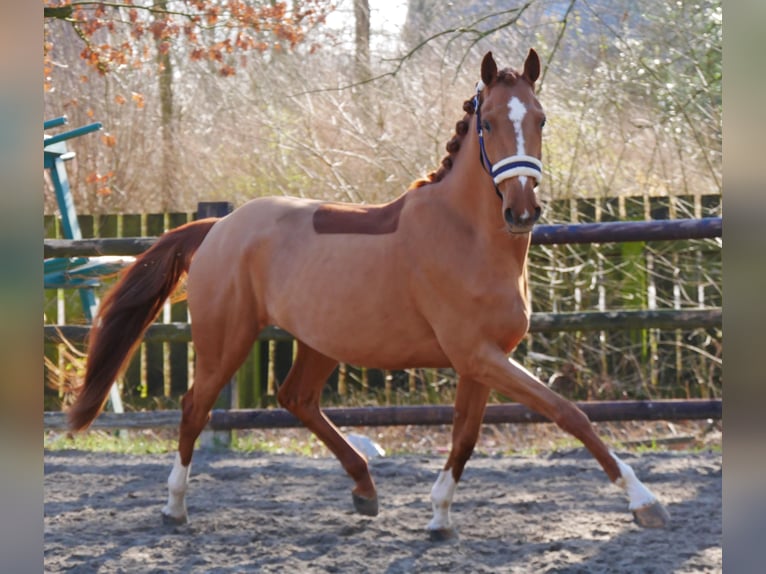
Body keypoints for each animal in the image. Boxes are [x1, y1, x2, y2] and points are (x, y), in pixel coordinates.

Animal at [70, 51, 672, 536]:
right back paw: (174, 508)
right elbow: (568, 413)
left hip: (320, 341)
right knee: (195, 407)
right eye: (491, 121)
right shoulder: (479, 355)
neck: (468, 236)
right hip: (226, 340)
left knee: (296, 399)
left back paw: (365, 489)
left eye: (541, 119)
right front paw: (643, 502)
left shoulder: (480, 361)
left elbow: (465, 437)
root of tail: (220, 227)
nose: (522, 211)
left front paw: (439, 517)